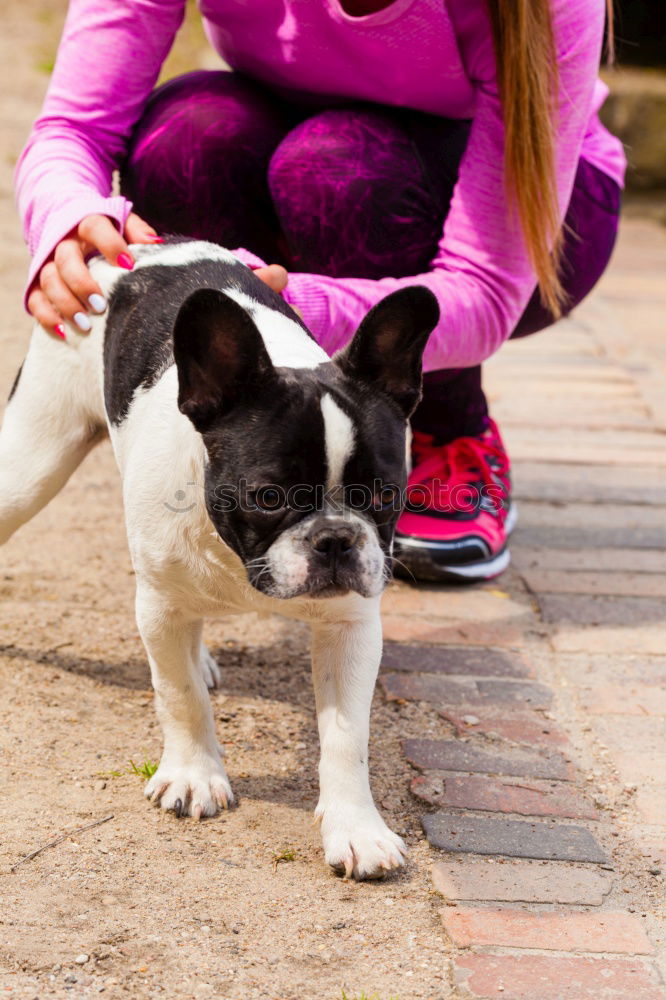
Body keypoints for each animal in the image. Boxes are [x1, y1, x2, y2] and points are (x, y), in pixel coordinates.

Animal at [0, 244, 436, 884]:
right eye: (269, 497)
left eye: (384, 495)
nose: (335, 539)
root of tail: (143, 249)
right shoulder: (159, 606)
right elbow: (178, 693)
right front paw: (194, 775)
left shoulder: (351, 627)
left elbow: (347, 736)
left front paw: (356, 828)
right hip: (32, 464)